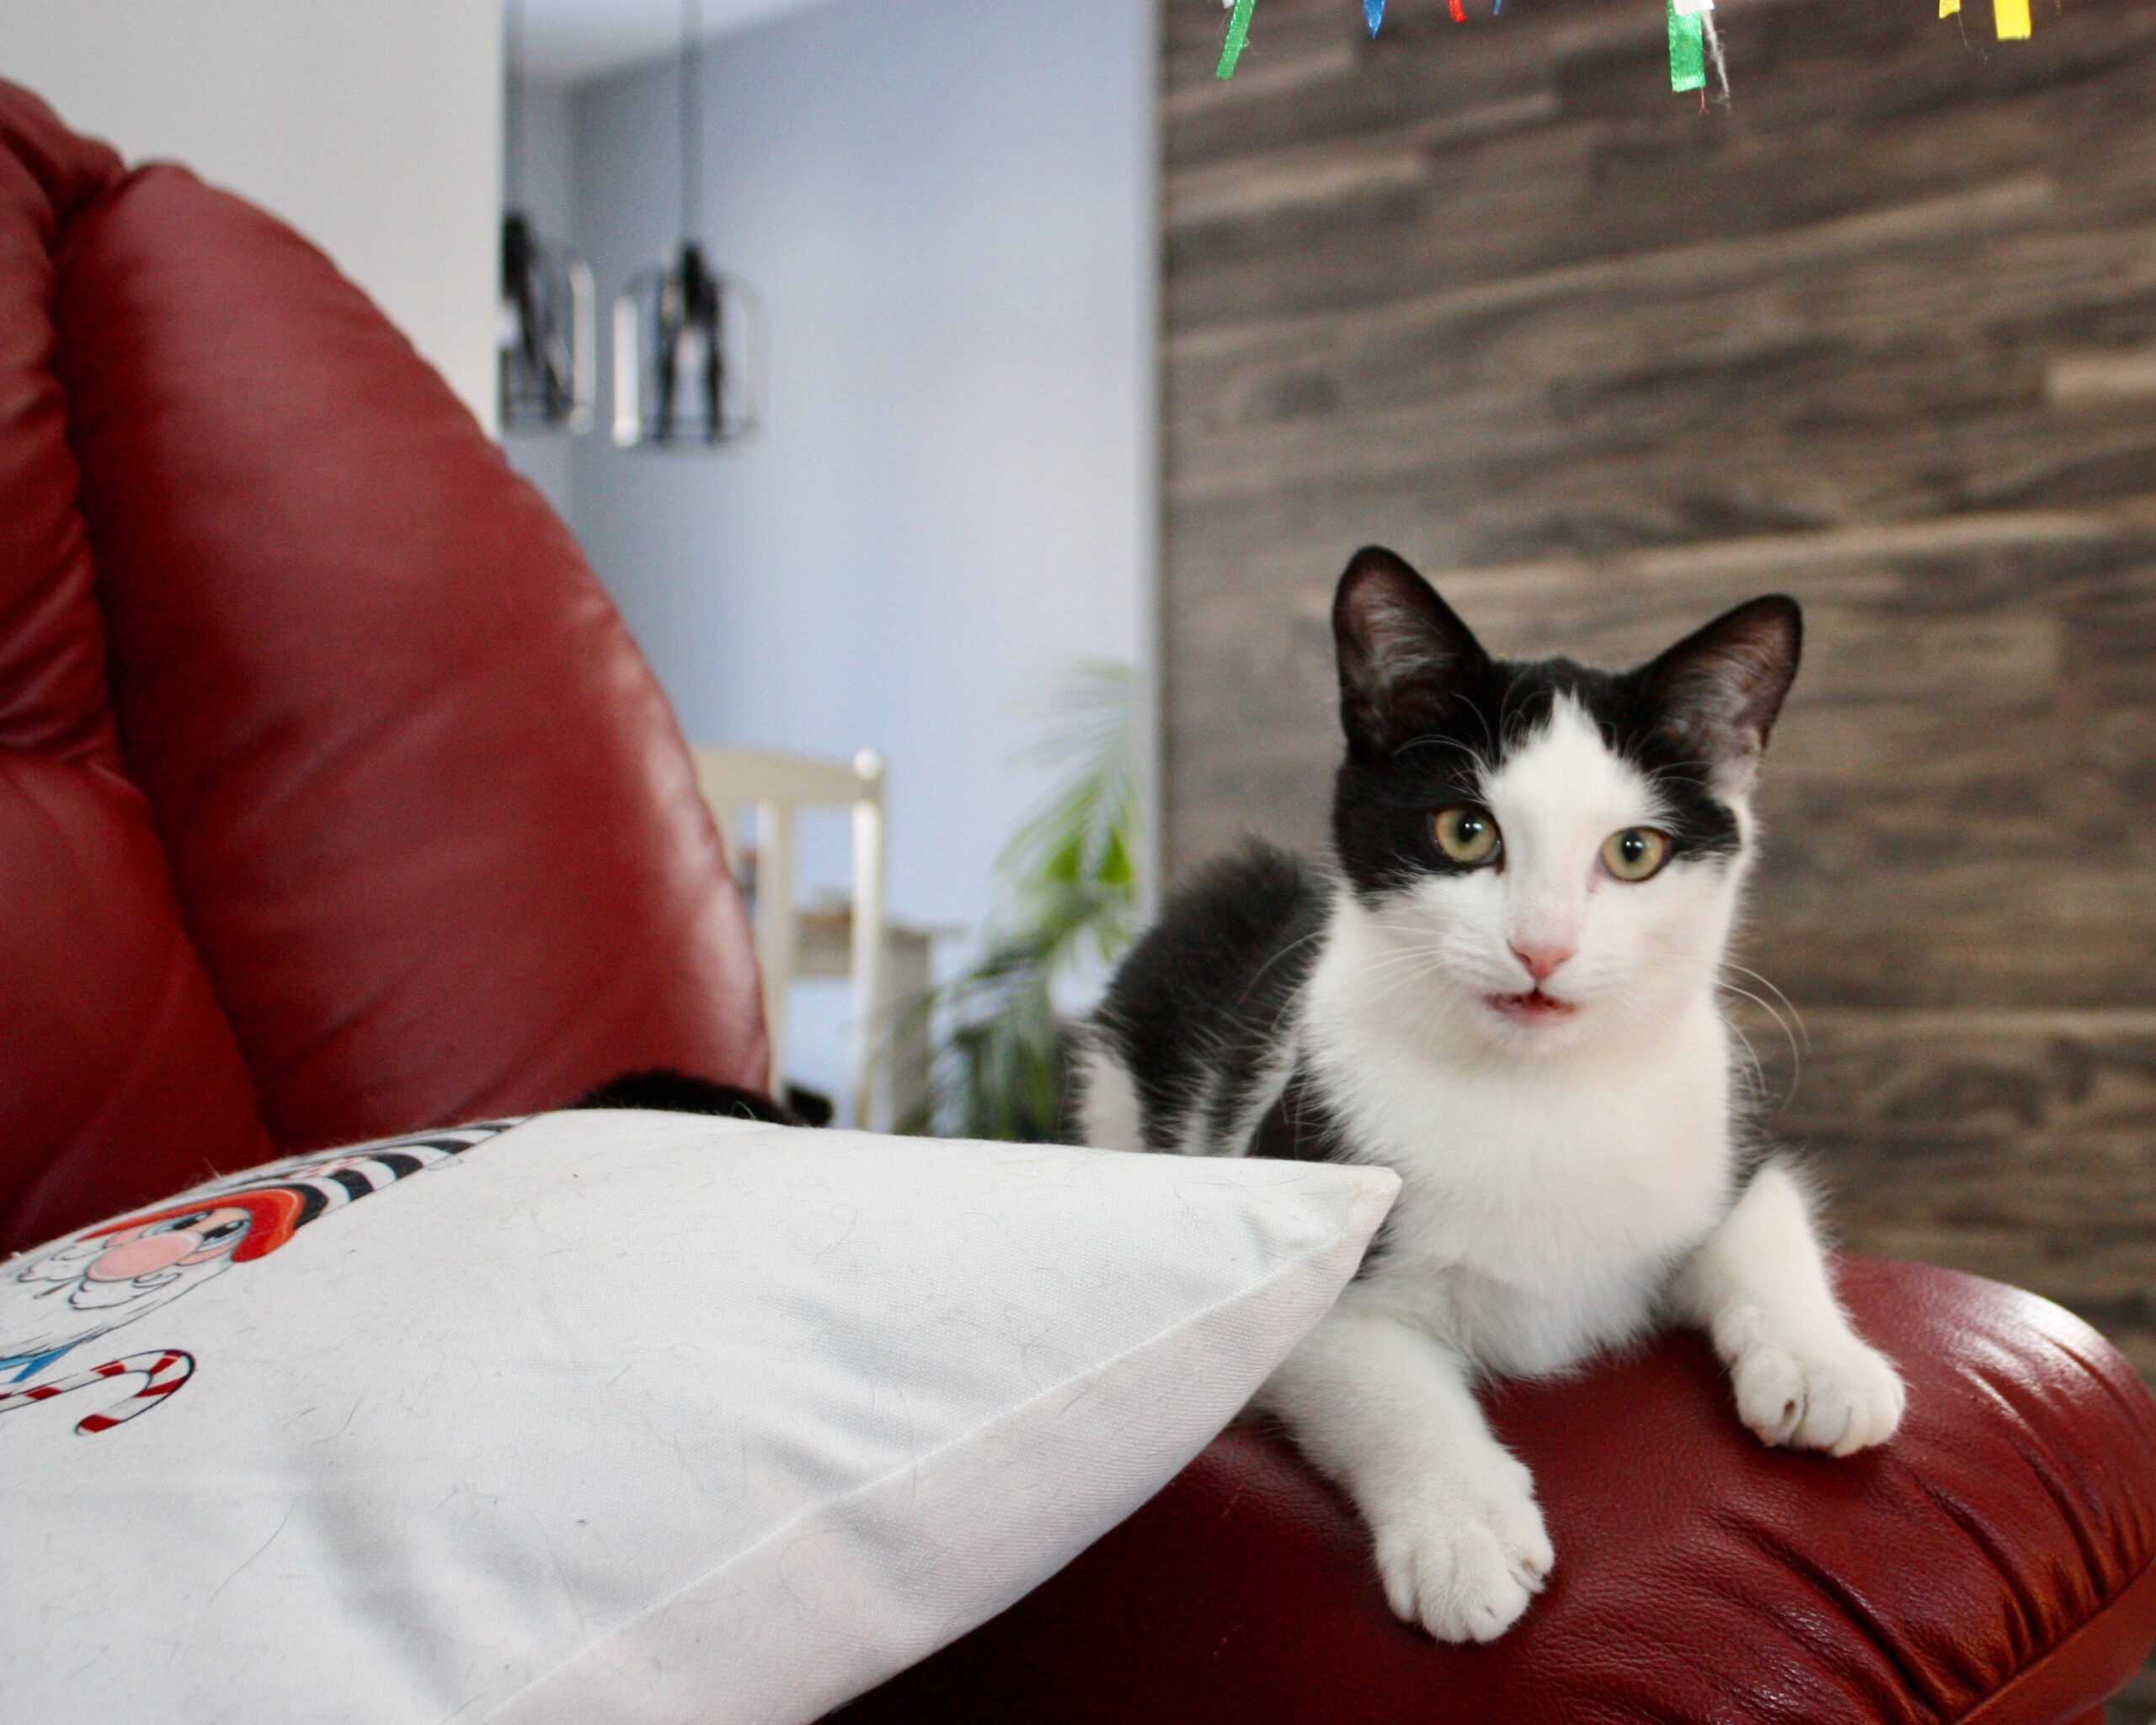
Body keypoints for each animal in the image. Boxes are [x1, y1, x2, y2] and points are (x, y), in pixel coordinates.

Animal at [1078, 545, 1904, 1645]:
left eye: (1633, 850)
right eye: (1466, 831)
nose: (1541, 947)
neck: (1540, 1090)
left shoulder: (1723, 1130)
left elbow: (1766, 1219)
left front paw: (1824, 1366)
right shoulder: (1306, 1188)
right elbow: (1383, 1385)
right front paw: (1460, 1530)